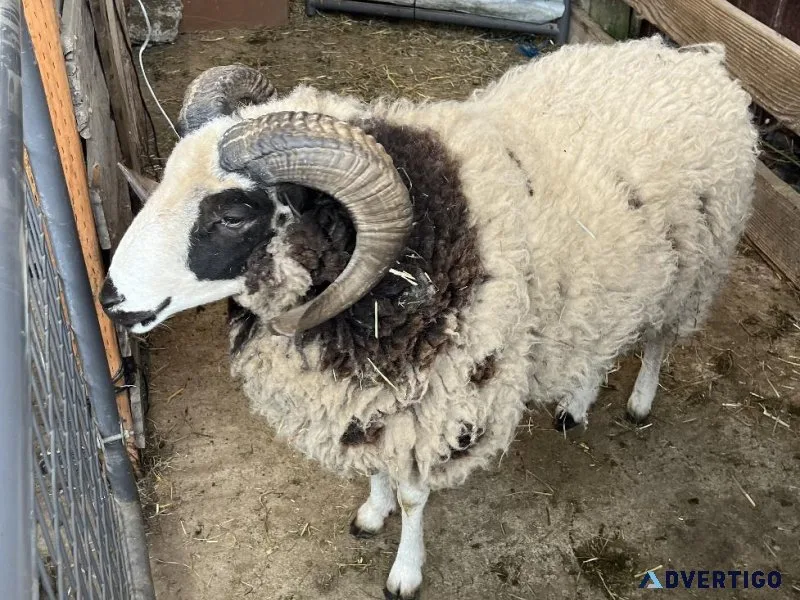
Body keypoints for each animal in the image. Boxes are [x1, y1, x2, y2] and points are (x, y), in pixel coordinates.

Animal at [100, 35, 758, 599]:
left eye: (234, 214)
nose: (111, 299)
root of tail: (698, 60)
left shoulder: (439, 397)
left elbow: (416, 497)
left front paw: (405, 570)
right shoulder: (375, 397)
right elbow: (375, 463)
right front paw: (372, 510)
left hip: (692, 271)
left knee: (658, 341)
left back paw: (639, 401)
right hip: (612, 285)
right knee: (600, 343)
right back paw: (576, 405)